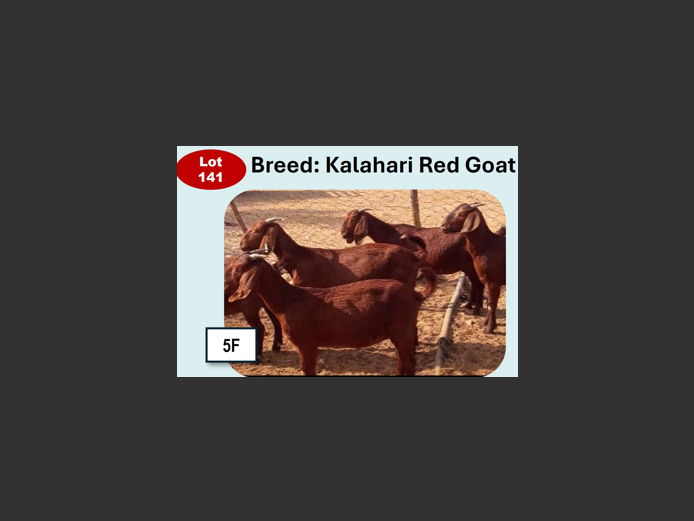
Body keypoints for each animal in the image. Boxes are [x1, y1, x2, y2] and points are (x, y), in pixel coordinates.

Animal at [227, 254, 424, 375]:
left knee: (410, 361)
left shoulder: (306, 343)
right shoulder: (311, 344)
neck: (288, 301)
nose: (226, 284)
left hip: (402, 329)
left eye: (237, 269)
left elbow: (306, 369)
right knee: (402, 359)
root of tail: (415, 294)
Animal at [340, 208, 484, 314]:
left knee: (478, 284)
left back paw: (475, 308)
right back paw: (470, 305)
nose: (343, 234)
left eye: (353, 219)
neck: (390, 233)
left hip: (469, 265)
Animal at [441, 204, 505, 333]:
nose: (443, 225)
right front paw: (487, 323)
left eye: (462, 214)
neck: (488, 246)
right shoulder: (486, 280)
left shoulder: (494, 282)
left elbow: (492, 303)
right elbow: (490, 302)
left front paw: (489, 328)